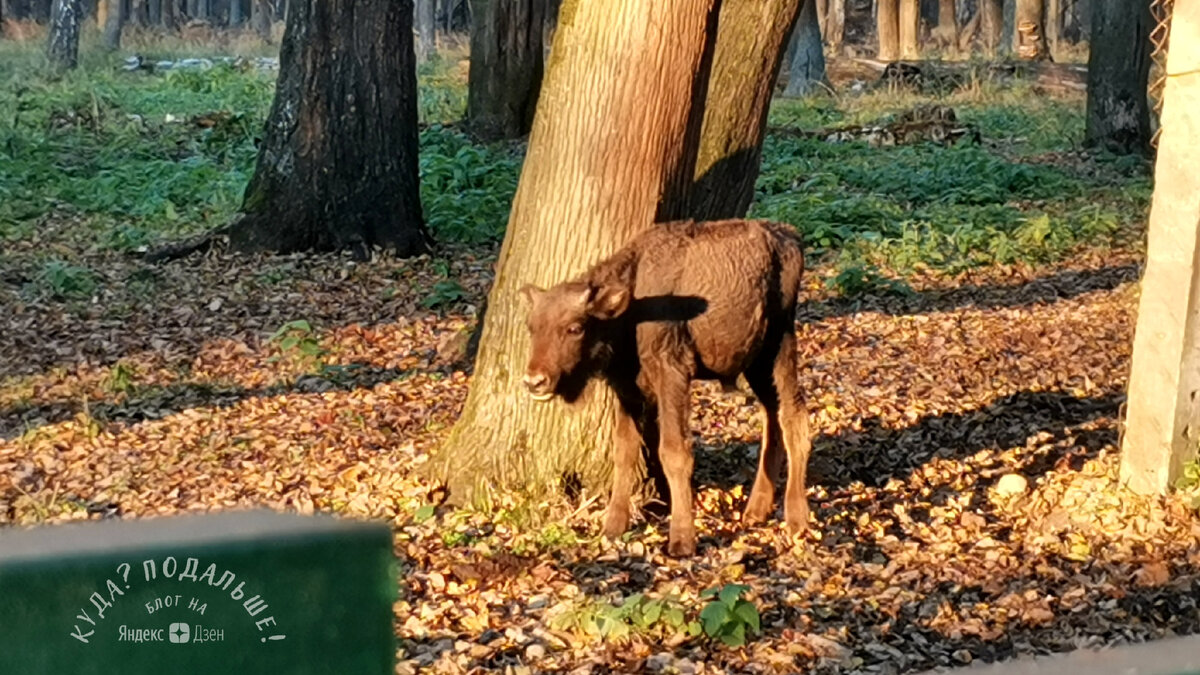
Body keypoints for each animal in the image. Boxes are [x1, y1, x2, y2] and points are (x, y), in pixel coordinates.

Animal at [520, 218, 811, 554]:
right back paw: (756, 510)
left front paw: (681, 539)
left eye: (575, 328)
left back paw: (797, 519)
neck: (632, 306)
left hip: (780, 346)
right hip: (756, 363)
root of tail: (789, 236)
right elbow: (624, 452)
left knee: (794, 417)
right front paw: (612, 527)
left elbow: (673, 452)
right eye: (531, 327)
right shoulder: (628, 391)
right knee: (771, 416)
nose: (535, 381)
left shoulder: (672, 375)